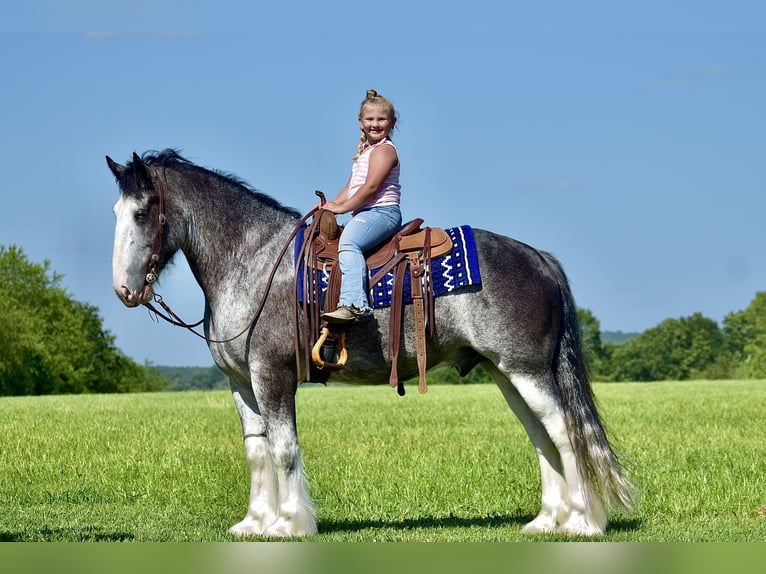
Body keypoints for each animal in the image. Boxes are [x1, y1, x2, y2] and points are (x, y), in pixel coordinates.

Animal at [108, 150, 636, 540]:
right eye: (117, 212)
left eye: (142, 212)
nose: (124, 291)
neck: (252, 261)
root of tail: (539, 258)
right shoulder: (241, 381)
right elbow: (258, 452)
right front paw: (254, 523)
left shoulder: (272, 375)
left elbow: (284, 449)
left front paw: (288, 523)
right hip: (508, 374)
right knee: (542, 437)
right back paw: (548, 521)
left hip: (529, 372)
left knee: (565, 434)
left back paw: (584, 523)